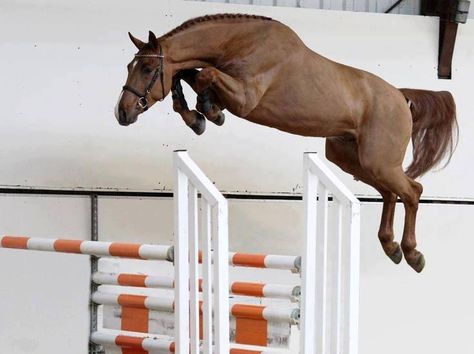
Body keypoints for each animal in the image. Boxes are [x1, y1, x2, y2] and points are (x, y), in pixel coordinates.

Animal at [114, 13, 456, 272]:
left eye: (147, 68)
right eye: (130, 67)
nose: (122, 113)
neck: (238, 44)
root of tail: (401, 96)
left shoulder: (245, 98)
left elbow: (202, 74)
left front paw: (208, 112)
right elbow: (188, 73)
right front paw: (199, 115)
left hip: (378, 161)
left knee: (413, 191)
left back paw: (412, 253)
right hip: (351, 160)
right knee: (390, 192)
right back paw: (391, 246)